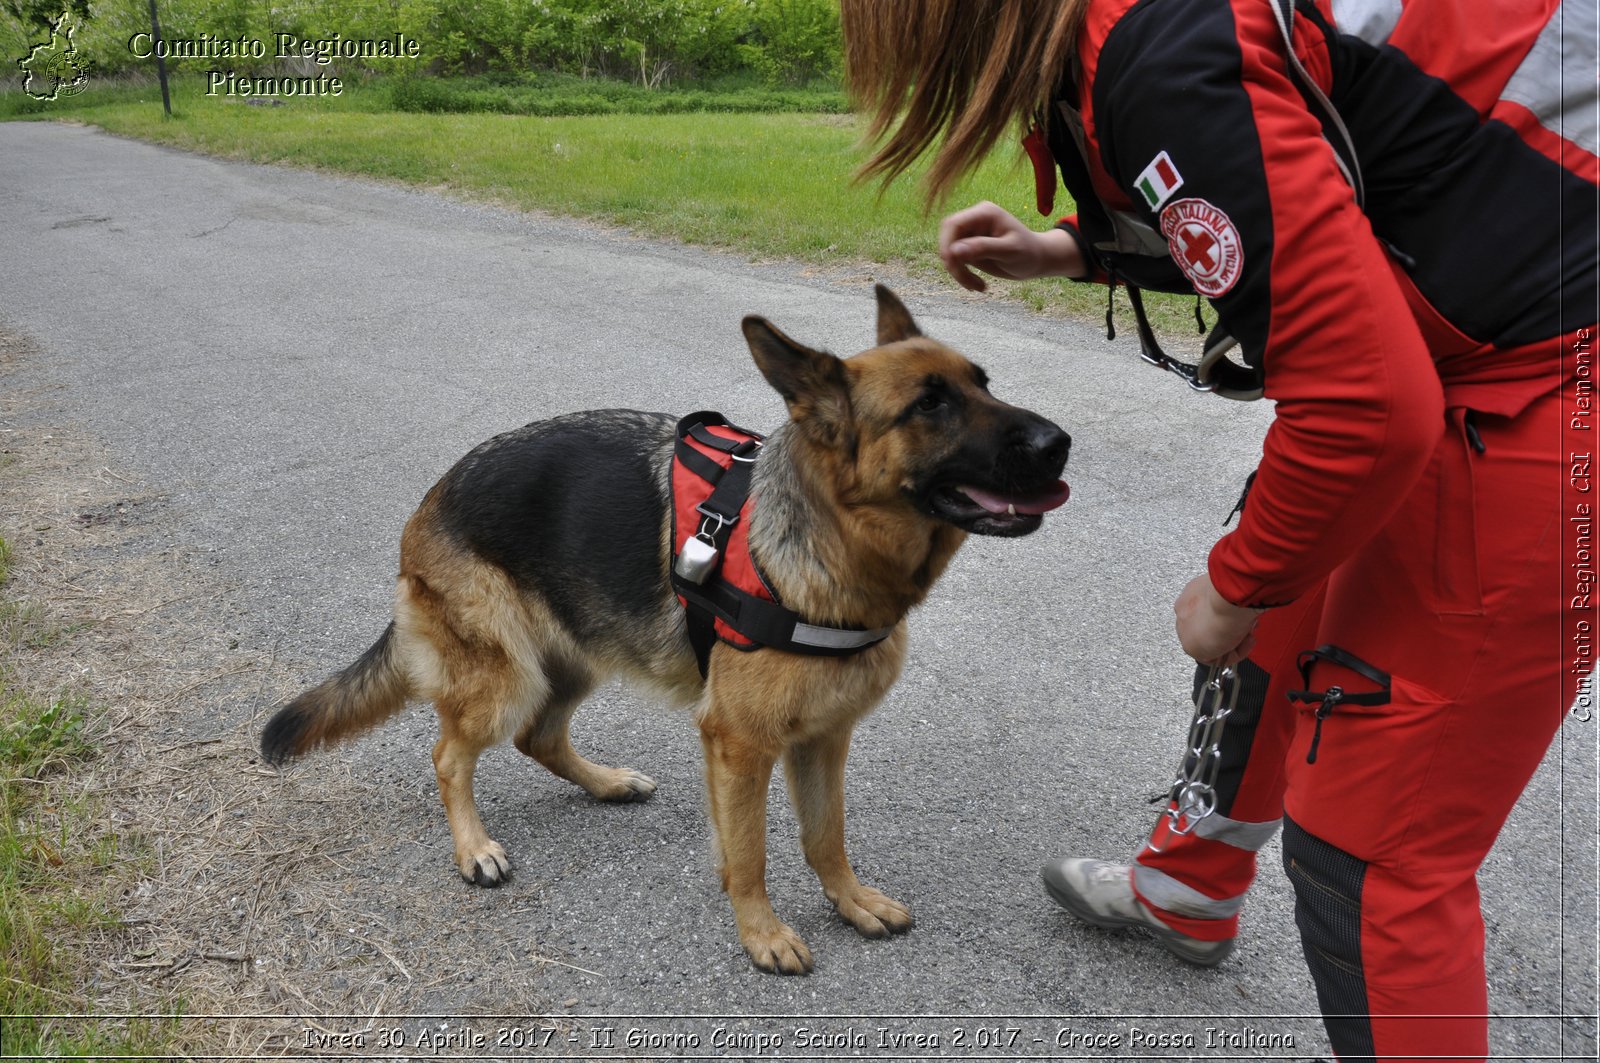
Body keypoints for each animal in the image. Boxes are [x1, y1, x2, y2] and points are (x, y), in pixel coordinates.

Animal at [262, 286, 1068, 973]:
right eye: (930, 405)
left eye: (984, 384)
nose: (1059, 443)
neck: (831, 540)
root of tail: (434, 495)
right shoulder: (740, 743)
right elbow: (750, 852)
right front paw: (762, 934)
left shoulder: (823, 737)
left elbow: (825, 833)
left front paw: (852, 900)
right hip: (506, 676)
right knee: (449, 755)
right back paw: (474, 847)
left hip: (578, 654)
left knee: (539, 737)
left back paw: (607, 783)